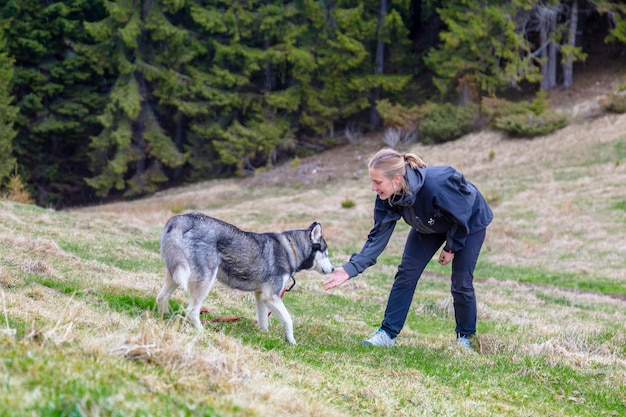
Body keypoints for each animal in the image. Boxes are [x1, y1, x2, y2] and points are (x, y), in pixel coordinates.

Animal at [156, 213, 332, 342]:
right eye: (325, 253)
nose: (333, 269)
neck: (291, 248)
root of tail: (184, 217)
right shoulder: (272, 296)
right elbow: (288, 320)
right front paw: (292, 342)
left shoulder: (261, 296)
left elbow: (263, 319)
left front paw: (264, 335)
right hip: (205, 280)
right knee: (192, 310)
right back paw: (201, 331)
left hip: (176, 273)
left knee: (162, 297)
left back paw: (164, 318)